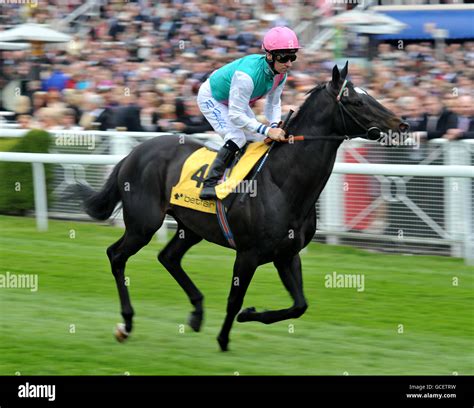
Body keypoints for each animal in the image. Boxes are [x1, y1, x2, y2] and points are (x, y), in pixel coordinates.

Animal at [73, 63, 408, 350]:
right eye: (357, 102)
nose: (402, 123)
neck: (282, 183)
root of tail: (133, 154)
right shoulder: (248, 254)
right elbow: (234, 299)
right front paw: (224, 338)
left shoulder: (287, 254)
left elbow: (299, 305)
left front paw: (250, 314)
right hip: (143, 224)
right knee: (116, 255)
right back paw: (126, 323)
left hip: (190, 227)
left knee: (168, 257)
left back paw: (196, 313)